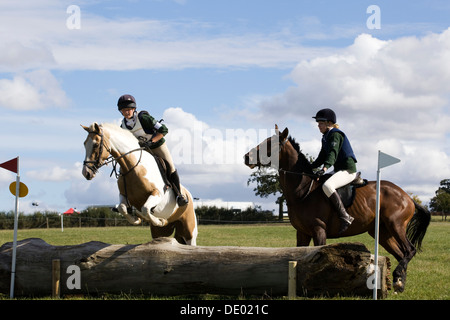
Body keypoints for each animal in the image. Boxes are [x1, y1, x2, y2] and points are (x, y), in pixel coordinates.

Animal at [244, 124, 430, 292]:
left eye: (270, 144)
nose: (247, 157)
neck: (302, 189)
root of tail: (407, 197)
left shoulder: (319, 229)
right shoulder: (302, 232)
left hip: (395, 225)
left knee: (409, 250)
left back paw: (398, 278)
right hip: (382, 232)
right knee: (401, 254)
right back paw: (399, 283)